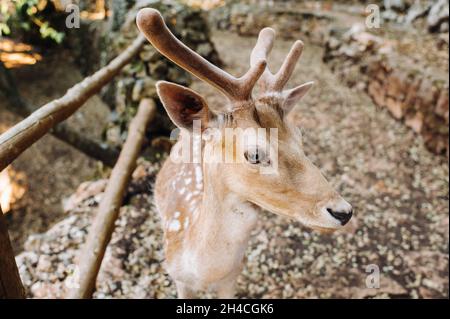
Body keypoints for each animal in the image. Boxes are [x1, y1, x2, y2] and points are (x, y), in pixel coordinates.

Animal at [135, 9, 354, 300]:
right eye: (254, 154)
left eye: (299, 137)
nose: (344, 212)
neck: (205, 273)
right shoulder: (178, 278)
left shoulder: (233, 277)